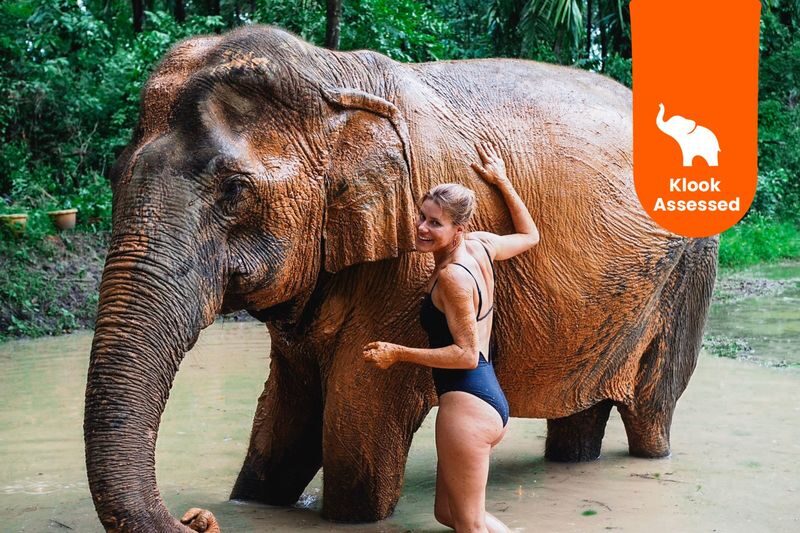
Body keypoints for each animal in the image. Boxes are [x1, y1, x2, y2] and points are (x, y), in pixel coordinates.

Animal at [84, 25, 719, 532]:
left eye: (235, 191)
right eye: (113, 174)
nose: (197, 518)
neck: (333, 76)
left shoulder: (407, 266)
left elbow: (355, 436)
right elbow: (284, 414)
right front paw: (254, 503)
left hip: (689, 273)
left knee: (653, 409)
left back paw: (649, 455)